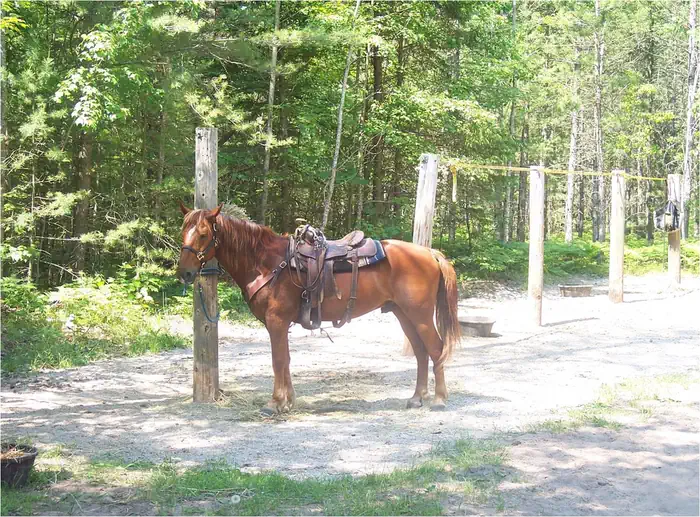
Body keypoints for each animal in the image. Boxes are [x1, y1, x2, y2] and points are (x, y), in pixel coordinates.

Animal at [176, 202, 461, 415]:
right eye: (183, 231)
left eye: (203, 234)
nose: (185, 273)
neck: (268, 263)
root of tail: (429, 252)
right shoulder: (281, 324)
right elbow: (286, 360)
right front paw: (288, 401)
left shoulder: (276, 321)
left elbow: (277, 360)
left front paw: (275, 403)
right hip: (403, 314)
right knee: (421, 352)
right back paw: (416, 398)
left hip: (420, 315)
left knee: (436, 350)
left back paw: (439, 399)